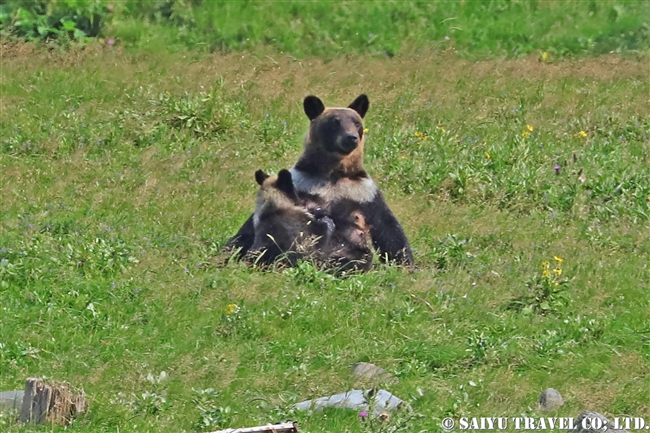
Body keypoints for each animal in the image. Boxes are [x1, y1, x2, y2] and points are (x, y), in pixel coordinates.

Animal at [225, 93, 412, 264]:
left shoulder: (364, 192)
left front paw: (406, 264)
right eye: (335, 122)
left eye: (357, 123)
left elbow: (390, 232)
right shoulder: (302, 182)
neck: (333, 173)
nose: (351, 138)